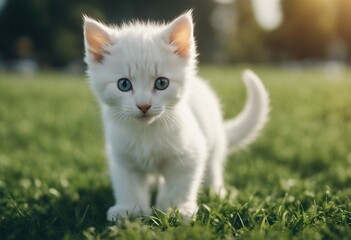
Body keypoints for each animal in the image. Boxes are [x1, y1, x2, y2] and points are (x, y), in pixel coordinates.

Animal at [82, 11, 270, 221]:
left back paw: (216, 192)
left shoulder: (191, 153)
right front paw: (130, 210)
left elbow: (180, 185)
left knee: (213, 167)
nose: (144, 105)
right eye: (124, 84)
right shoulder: (123, 157)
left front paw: (176, 210)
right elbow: (128, 186)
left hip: (213, 143)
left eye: (161, 83)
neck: (147, 132)